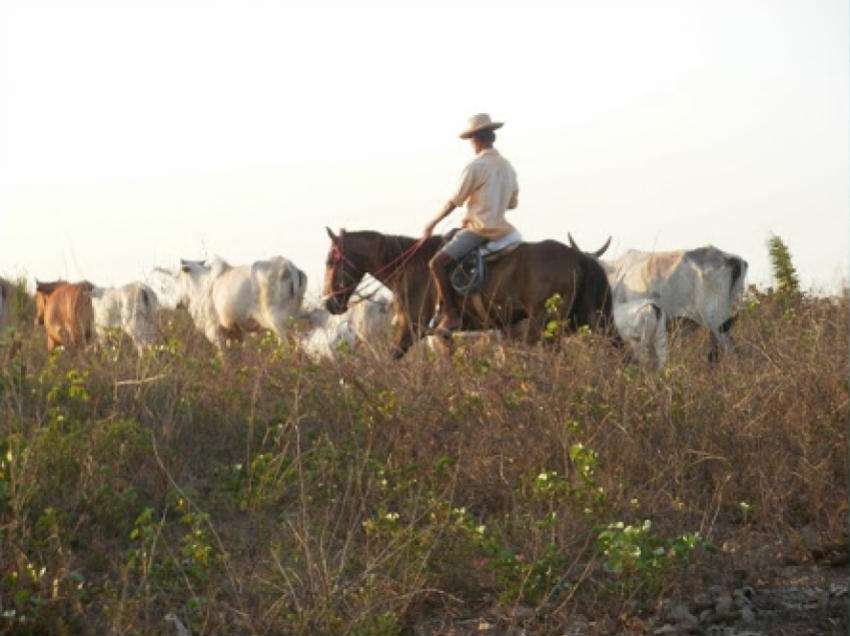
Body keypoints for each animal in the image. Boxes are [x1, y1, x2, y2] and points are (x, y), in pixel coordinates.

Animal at [172, 256, 304, 348]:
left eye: (177, 277)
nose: (176, 303)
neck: (201, 286)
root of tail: (289, 266)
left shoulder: (215, 330)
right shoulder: (235, 332)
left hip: (278, 322)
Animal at [322, 227, 616, 358]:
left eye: (330, 261)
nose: (329, 303)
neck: (411, 268)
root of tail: (579, 257)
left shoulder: (412, 328)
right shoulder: (442, 336)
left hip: (545, 326)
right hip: (594, 320)